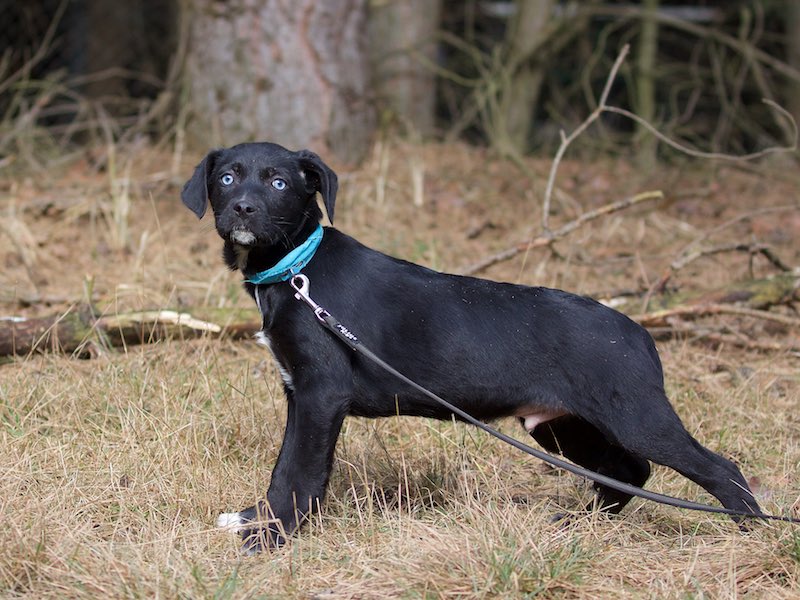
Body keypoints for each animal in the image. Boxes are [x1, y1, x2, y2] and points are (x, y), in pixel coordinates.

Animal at [182, 141, 760, 553]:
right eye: (227, 177)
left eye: (280, 182)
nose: (243, 208)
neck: (297, 267)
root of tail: (638, 333)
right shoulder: (297, 393)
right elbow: (284, 467)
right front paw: (253, 520)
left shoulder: (321, 394)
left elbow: (301, 471)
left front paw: (272, 538)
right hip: (561, 425)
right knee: (627, 473)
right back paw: (579, 524)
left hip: (635, 415)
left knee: (718, 469)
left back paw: (757, 537)